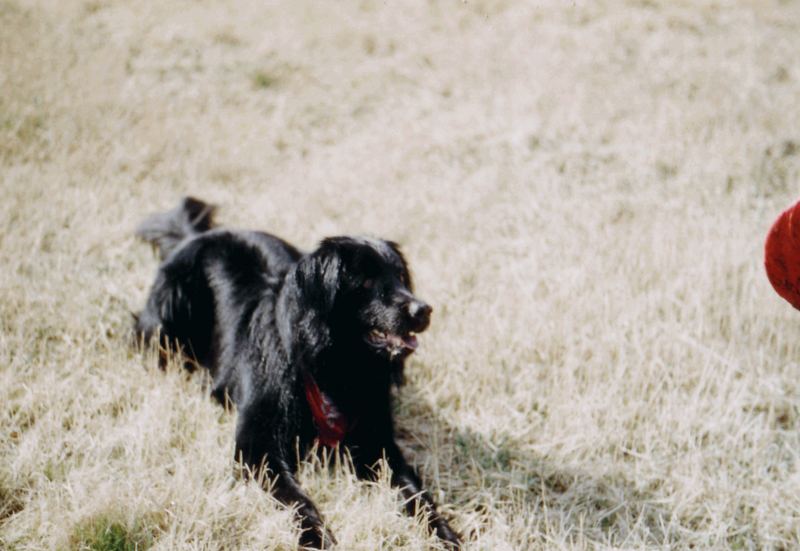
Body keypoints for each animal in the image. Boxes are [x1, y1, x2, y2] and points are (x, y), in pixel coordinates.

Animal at [132, 201, 460, 548]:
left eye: (399, 276)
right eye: (366, 283)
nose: (423, 310)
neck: (332, 368)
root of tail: (198, 235)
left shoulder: (379, 444)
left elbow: (416, 494)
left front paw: (442, 531)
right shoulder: (257, 448)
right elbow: (296, 499)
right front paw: (317, 536)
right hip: (163, 322)